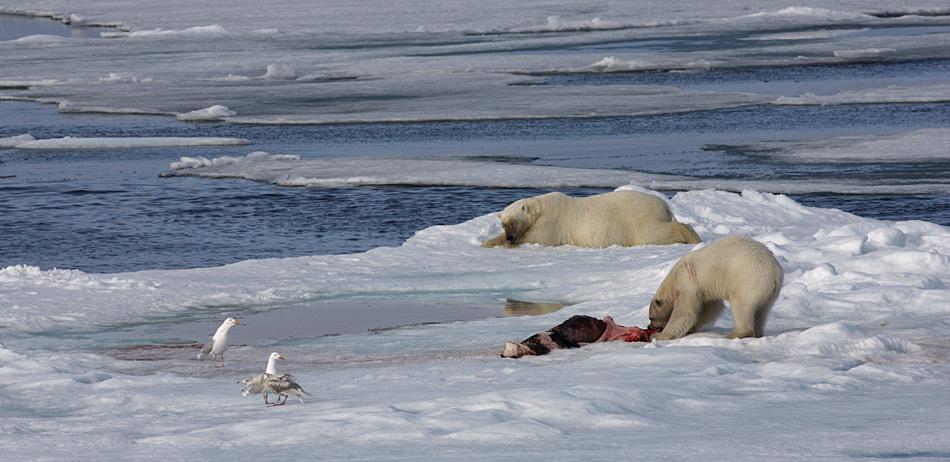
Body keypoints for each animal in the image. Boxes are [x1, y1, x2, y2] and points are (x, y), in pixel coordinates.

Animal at [484, 190, 700, 249]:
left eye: (513, 222)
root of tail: (664, 204)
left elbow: (536, 238)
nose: (510, 237)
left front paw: (492, 242)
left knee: (656, 233)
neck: (541, 207)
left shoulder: (551, 222)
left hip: (641, 218)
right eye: (503, 223)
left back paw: (691, 236)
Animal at [648, 236, 788, 342]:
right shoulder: (705, 290)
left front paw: (658, 336)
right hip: (770, 294)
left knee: (741, 306)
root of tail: (775, 272)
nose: (649, 326)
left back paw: (732, 334)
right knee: (762, 312)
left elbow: (684, 313)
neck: (674, 278)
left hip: (748, 281)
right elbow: (711, 308)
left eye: (651, 318)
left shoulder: (688, 284)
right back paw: (759, 333)